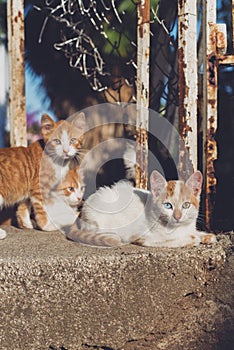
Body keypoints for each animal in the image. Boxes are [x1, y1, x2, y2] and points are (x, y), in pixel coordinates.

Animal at [65, 170, 217, 249]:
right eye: (168, 205)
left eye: (186, 205)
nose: (178, 216)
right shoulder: (143, 237)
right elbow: (169, 240)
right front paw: (192, 238)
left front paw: (204, 235)